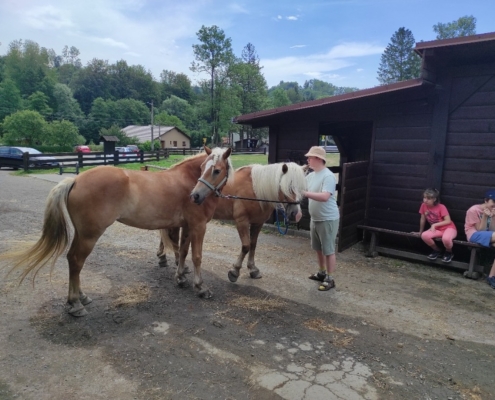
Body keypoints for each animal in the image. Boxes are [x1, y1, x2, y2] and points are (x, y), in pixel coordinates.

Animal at [0, 146, 233, 316]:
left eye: (216, 170)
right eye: (203, 167)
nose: (195, 196)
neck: (189, 180)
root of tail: (75, 179)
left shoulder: (186, 225)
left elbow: (183, 252)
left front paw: (181, 278)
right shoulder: (198, 226)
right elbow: (197, 257)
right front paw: (201, 288)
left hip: (83, 234)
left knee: (72, 260)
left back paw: (80, 297)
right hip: (89, 235)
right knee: (76, 261)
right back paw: (75, 304)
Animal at [158, 162, 306, 282]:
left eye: (302, 188)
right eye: (289, 187)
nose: (296, 214)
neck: (255, 189)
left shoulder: (258, 223)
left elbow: (253, 245)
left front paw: (253, 269)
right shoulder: (241, 221)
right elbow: (246, 246)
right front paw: (235, 271)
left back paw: (164, 259)